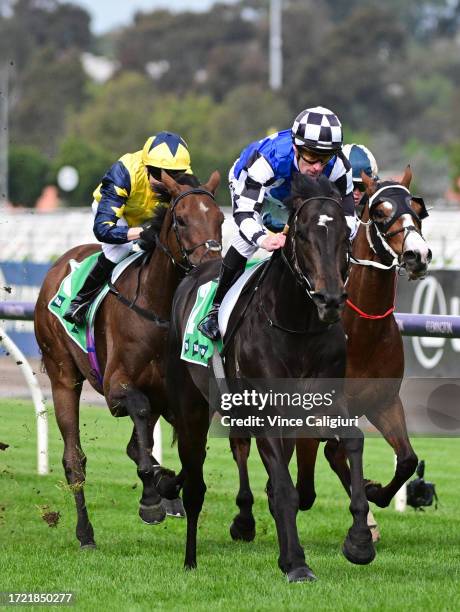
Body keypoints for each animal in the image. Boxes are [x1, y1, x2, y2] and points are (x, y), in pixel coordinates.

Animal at [33, 170, 224, 548]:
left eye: (221, 219)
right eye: (181, 220)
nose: (212, 266)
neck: (158, 311)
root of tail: (60, 264)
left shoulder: (177, 397)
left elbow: (183, 452)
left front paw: (167, 488)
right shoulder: (116, 389)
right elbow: (140, 415)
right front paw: (151, 498)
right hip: (63, 375)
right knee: (74, 460)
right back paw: (85, 533)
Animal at [167, 175, 376, 580]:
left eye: (345, 237)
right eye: (302, 235)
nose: (330, 300)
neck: (298, 325)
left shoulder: (325, 398)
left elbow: (352, 441)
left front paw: (359, 540)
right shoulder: (265, 410)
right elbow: (282, 486)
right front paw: (296, 562)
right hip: (193, 404)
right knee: (202, 475)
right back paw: (192, 556)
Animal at [228, 165, 434, 544]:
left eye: (417, 209)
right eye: (379, 212)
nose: (418, 255)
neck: (363, 333)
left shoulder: (384, 401)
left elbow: (406, 460)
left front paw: (374, 495)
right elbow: (320, 461)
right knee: (245, 445)